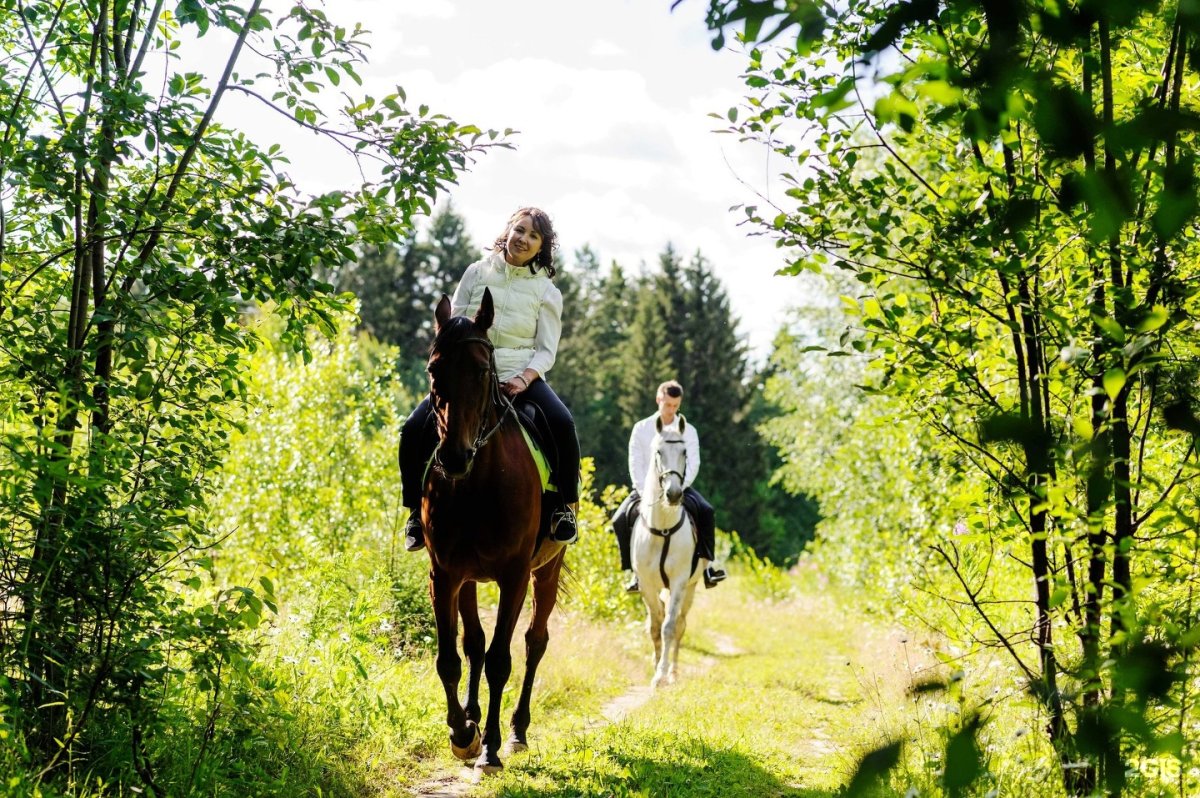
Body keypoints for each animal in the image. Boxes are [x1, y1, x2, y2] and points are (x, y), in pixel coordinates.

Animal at [417, 288, 566, 772]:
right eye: (434, 368)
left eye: (482, 370)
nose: (453, 456)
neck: (478, 482)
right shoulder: (445, 574)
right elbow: (451, 658)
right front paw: (464, 734)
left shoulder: (514, 576)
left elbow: (502, 659)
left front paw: (492, 749)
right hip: (467, 579)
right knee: (474, 644)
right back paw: (473, 716)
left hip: (547, 570)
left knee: (535, 642)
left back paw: (518, 731)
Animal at [628, 412, 700, 686]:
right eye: (658, 452)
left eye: (685, 452)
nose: (674, 494)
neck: (663, 530)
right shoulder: (647, 584)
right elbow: (655, 625)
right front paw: (655, 664)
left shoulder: (679, 581)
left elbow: (668, 626)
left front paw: (661, 674)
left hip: (691, 588)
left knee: (680, 624)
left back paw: (673, 672)